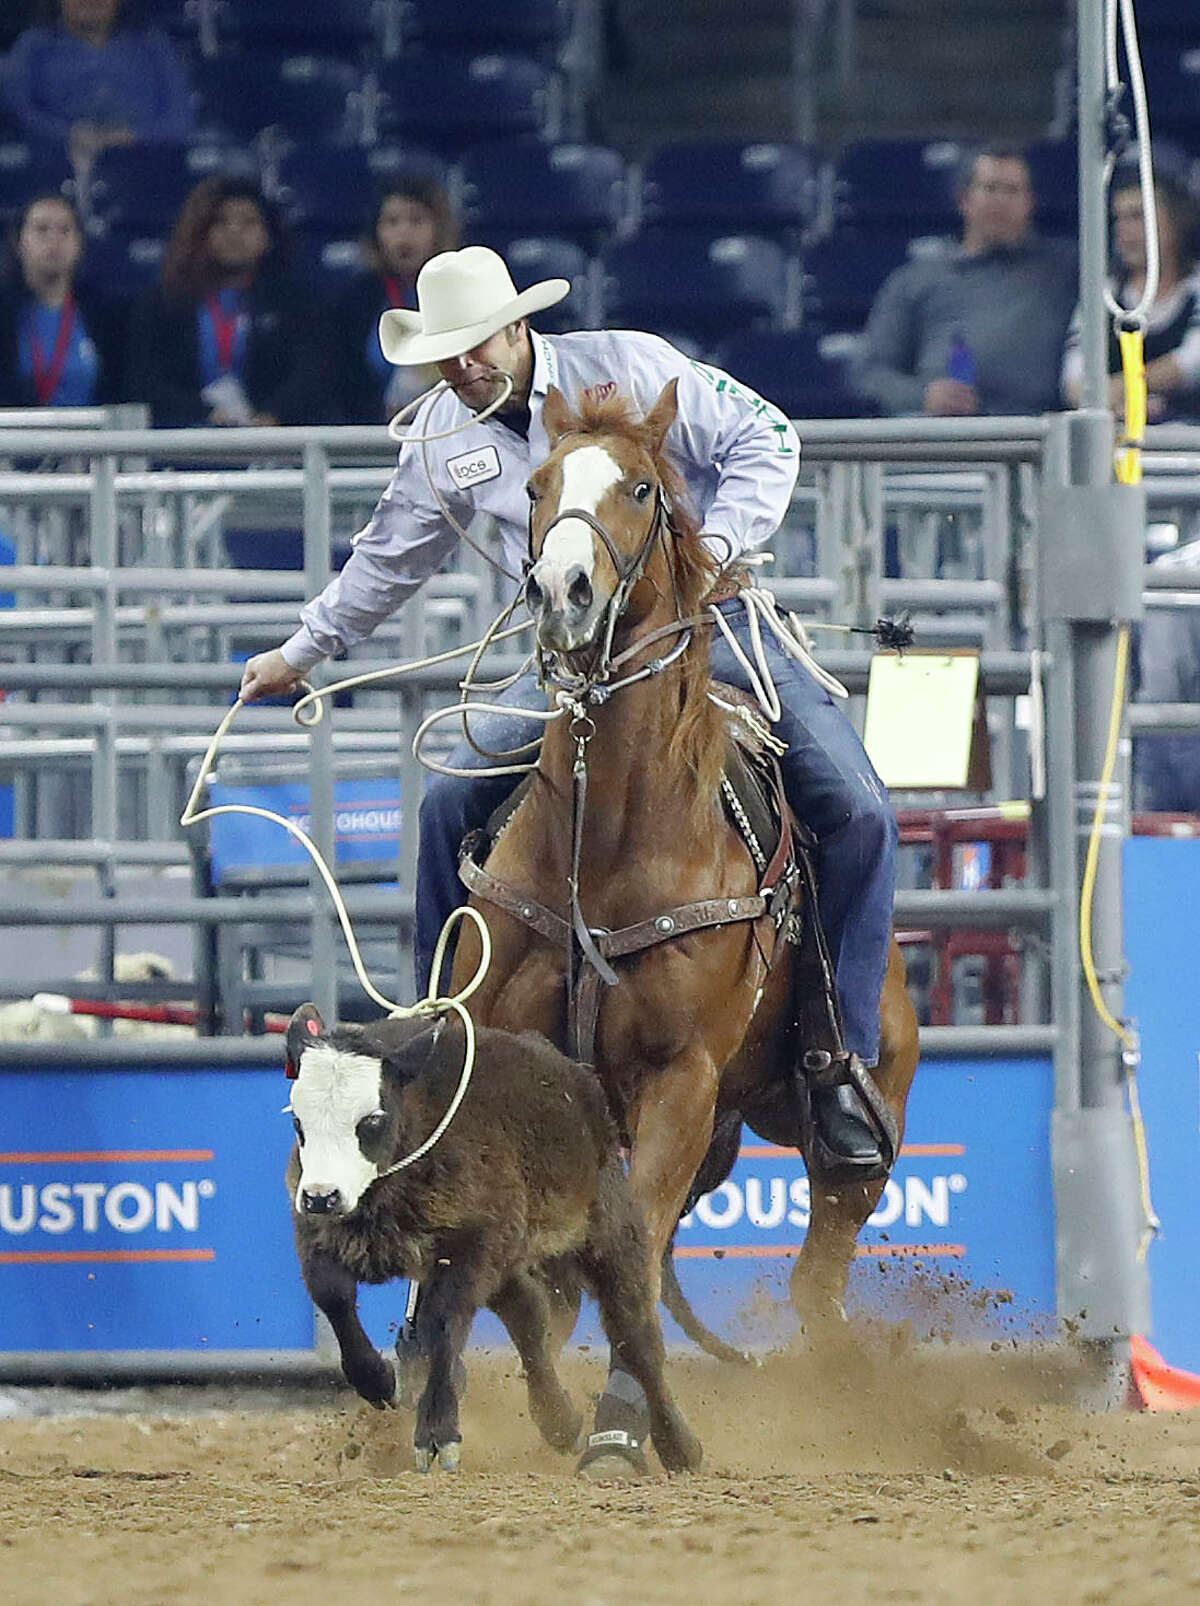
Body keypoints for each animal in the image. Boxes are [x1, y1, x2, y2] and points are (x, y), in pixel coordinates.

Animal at [284, 1002, 703, 1477]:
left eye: (371, 1120)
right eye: (298, 1120)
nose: (322, 1197)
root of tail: (574, 1077)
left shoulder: (471, 1245)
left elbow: (442, 1324)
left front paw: (437, 1433)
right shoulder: (318, 1233)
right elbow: (334, 1298)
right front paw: (379, 1381)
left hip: (605, 1229)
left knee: (636, 1336)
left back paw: (677, 1446)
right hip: (507, 1254)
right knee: (528, 1314)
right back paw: (560, 1421)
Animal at [456, 375, 918, 1471]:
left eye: (639, 487)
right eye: (534, 486)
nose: (565, 590)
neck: (610, 839)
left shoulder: (681, 1081)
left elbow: (626, 1248)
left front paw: (621, 1428)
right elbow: (532, 1265)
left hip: (848, 1123)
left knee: (813, 1278)